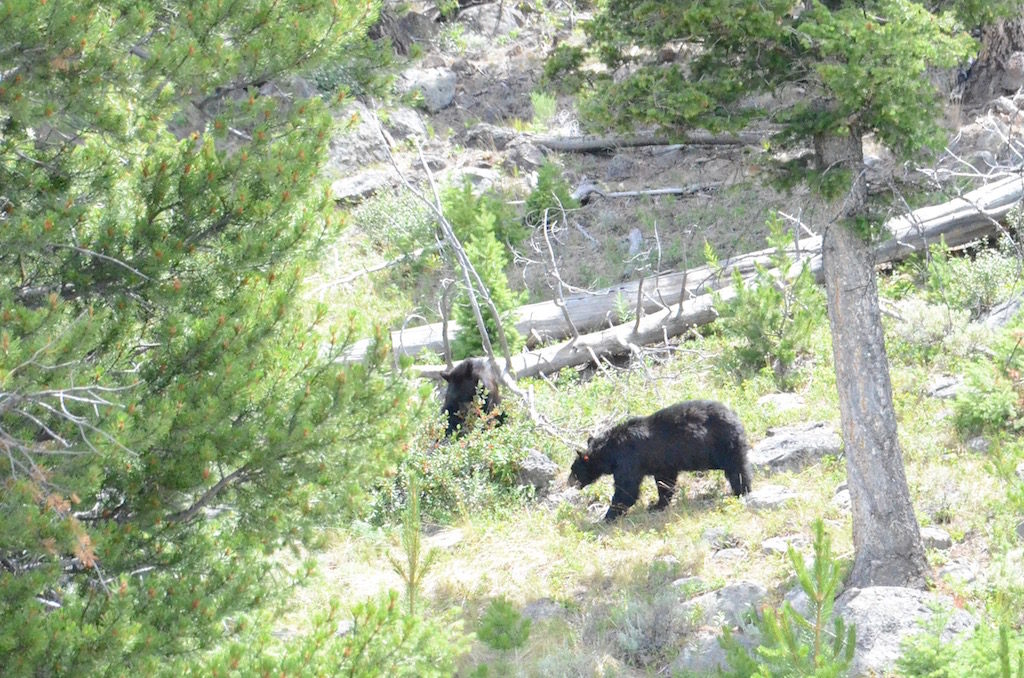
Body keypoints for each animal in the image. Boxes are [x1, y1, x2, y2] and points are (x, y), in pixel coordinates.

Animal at [569, 401, 753, 522]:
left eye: (573, 470)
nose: (568, 482)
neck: (610, 450)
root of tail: (735, 417)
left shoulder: (629, 459)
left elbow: (627, 489)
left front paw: (607, 516)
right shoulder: (662, 464)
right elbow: (665, 482)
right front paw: (658, 504)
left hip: (725, 444)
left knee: (737, 469)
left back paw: (741, 491)